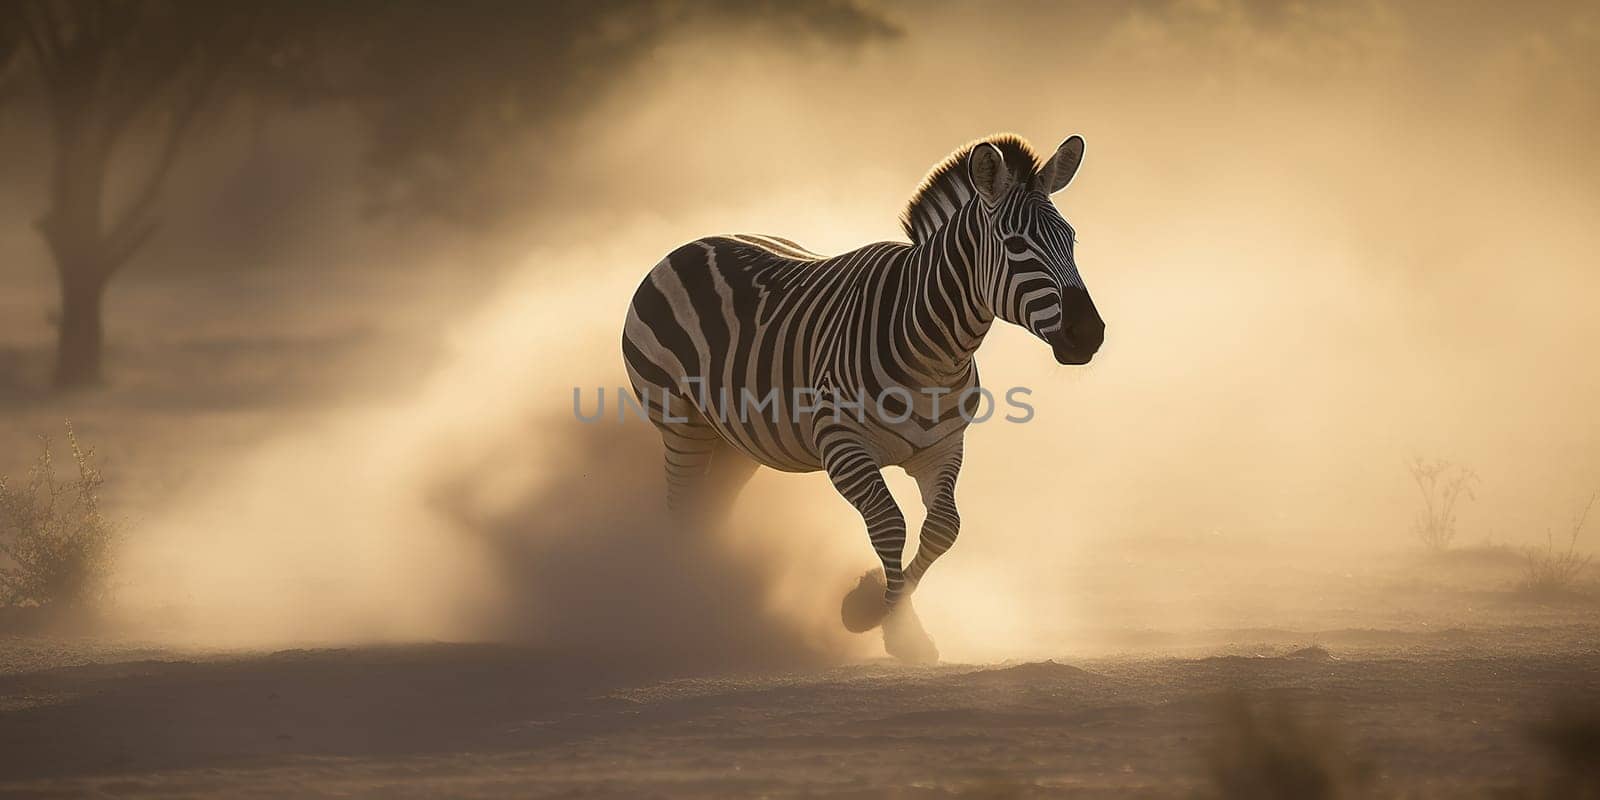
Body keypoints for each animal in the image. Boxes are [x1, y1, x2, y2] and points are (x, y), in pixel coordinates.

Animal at [620, 132, 1100, 662]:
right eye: (1016, 245)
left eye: (1071, 240)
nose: (1089, 334)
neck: (933, 348)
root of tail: (691, 243)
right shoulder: (842, 446)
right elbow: (890, 524)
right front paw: (887, 623)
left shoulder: (943, 446)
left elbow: (943, 527)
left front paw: (878, 605)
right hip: (680, 423)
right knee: (682, 508)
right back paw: (686, 605)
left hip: (737, 443)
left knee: (710, 512)